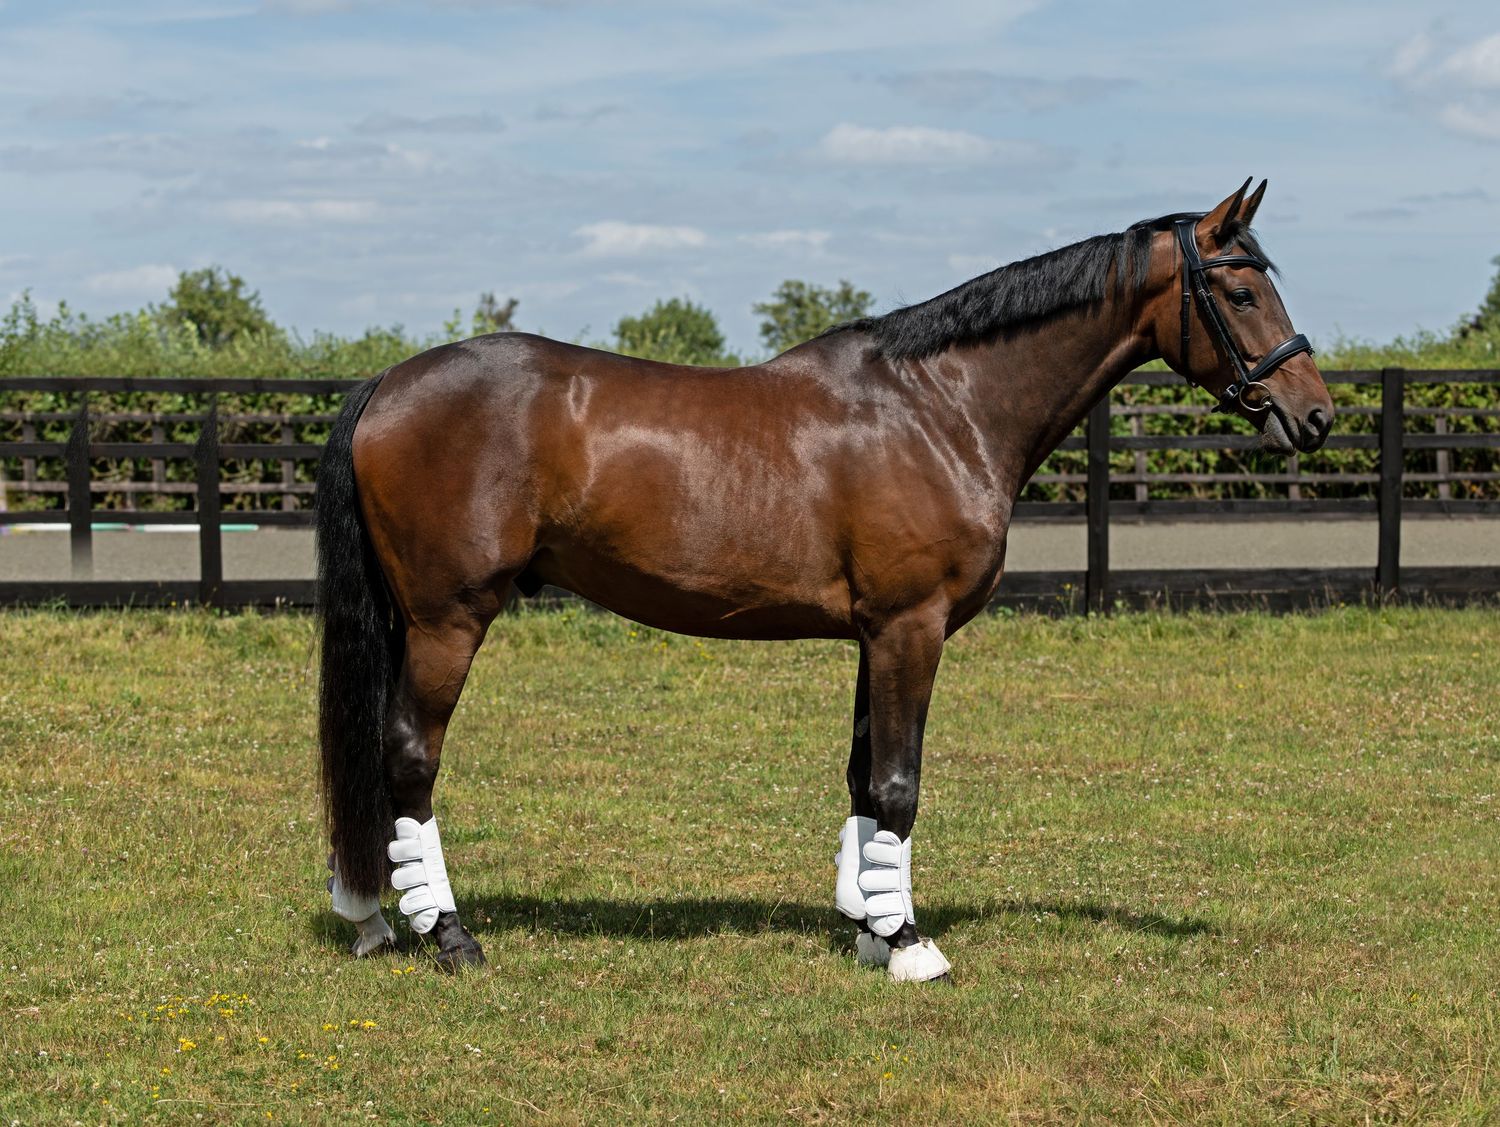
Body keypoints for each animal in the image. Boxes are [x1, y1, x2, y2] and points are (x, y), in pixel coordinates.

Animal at [316, 179, 1333, 980]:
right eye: (1241, 289)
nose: (1316, 415)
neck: (939, 405)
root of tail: (388, 383)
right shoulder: (911, 627)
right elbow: (899, 783)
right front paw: (912, 944)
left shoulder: (876, 632)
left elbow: (862, 778)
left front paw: (871, 927)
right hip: (448, 620)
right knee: (409, 754)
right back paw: (447, 933)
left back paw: (372, 916)